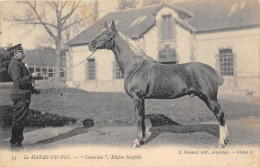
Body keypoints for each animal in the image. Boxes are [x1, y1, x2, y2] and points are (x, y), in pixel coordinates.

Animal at [88, 20, 229, 147]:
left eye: (107, 34)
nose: (90, 45)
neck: (135, 66)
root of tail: (213, 70)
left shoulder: (137, 98)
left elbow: (138, 118)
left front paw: (137, 142)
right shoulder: (142, 99)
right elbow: (142, 117)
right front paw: (142, 139)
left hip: (209, 98)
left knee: (220, 114)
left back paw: (222, 142)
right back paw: (226, 139)